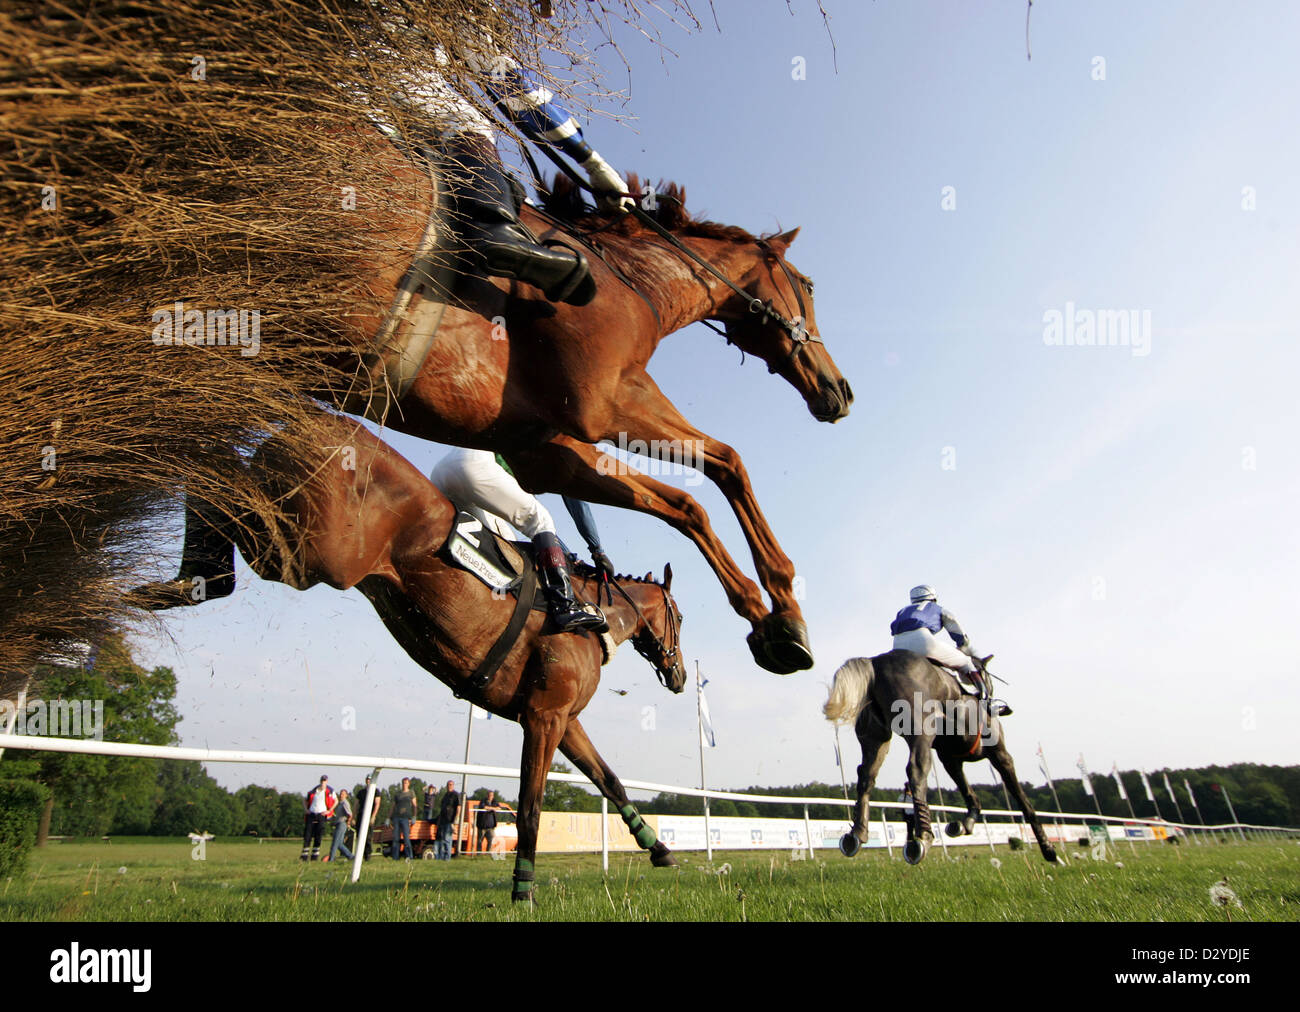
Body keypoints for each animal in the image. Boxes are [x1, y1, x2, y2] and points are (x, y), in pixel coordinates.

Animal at [139, 411, 691, 900]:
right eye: (681, 619)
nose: (681, 675)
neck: (596, 617)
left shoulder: (562, 718)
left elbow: (611, 780)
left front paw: (659, 849)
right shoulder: (543, 716)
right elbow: (532, 805)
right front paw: (523, 889)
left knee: (220, 475)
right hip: (311, 555)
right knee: (225, 494)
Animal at [826, 650, 1060, 863]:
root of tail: (875, 662)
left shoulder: (950, 759)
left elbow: (968, 792)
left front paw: (964, 824)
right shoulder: (1000, 756)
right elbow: (1024, 802)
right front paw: (1049, 851)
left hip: (876, 738)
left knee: (866, 775)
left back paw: (857, 833)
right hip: (920, 732)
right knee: (916, 769)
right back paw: (923, 837)